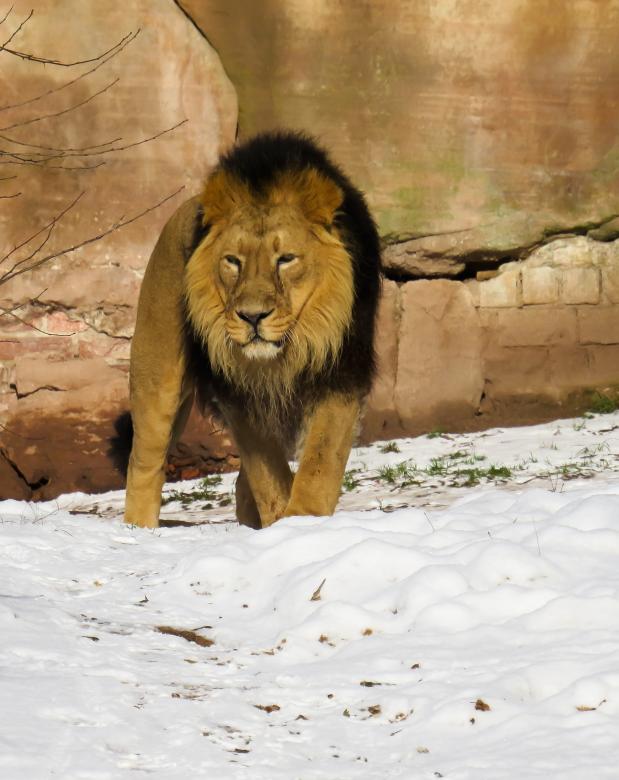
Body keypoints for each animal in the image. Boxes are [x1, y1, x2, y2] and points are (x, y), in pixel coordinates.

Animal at [124, 131, 381, 529]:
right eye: (233, 261)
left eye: (286, 259)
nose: (252, 316)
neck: (288, 351)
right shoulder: (238, 394)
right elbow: (267, 473)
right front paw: (284, 522)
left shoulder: (341, 373)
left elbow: (320, 461)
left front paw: (302, 521)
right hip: (157, 378)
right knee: (144, 463)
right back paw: (138, 530)